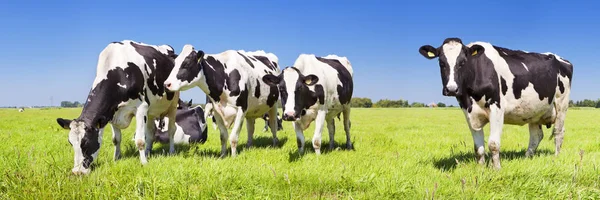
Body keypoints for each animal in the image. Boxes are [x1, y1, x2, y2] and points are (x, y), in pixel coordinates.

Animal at [55, 39, 179, 174]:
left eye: (86, 143)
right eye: (71, 143)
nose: (77, 172)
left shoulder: (141, 108)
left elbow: (140, 140)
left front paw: (144, 163)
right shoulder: (111, 113)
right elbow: (116, 139)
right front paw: (116, 159)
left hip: (173, 103)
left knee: (171, 130)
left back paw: (171, 151)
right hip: (151, 111)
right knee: (151, 132)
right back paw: (148, 152)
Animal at [420, 37, 576, 169]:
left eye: (463, 62)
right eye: (441, 63)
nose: (452, 89)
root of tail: (560, 58)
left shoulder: (497, 108)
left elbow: (493, 144)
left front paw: (496, 169)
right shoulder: (469, 112)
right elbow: (478, 147)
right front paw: (480, 168)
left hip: (561, 104)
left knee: (558, 131)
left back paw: (556, 157)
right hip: (535, 111)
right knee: (536, 136)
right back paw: (526, 157)